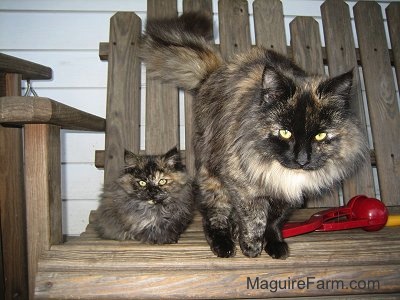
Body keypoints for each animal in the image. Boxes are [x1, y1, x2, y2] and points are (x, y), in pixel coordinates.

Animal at [139, 13, 368, 258]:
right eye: (285, 132)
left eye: (319, 136)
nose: (302, 159)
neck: (281, 171)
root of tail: (214, 72)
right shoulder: (243, 185)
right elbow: (254, 219)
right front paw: (251, 247)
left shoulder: (284, 195)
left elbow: (274, 220)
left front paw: (274, 243)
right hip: (211, 173)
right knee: (213, 213)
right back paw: (223, 243)